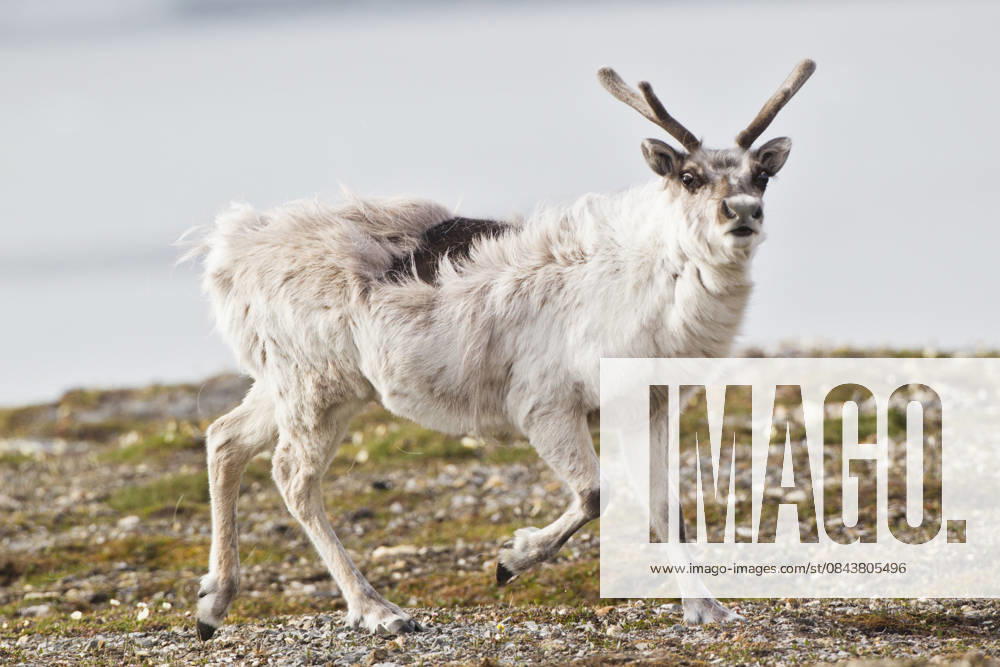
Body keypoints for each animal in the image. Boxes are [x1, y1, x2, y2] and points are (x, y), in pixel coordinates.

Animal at [184, 59, 816, 640]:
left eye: (761, 176)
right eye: (689, 176)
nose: (743, 212)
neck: (651, 284)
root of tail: (229, 254)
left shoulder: (652, 402)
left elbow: (668, 508)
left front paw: (707, 607)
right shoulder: (544, 404)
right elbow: (597, 494)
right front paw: (511, 560)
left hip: (286, 382)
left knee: (224, 438)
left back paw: (213, 605)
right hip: (318, 387)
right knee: (292, 475)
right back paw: (378, 610)